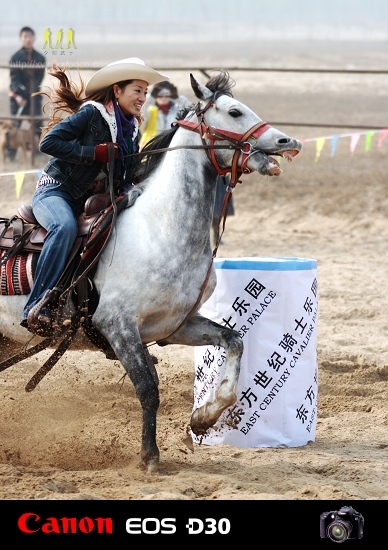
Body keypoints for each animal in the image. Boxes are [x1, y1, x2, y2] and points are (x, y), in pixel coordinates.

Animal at [0, 70, 302, 474]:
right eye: (234, 111)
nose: (288, 142)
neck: (160, 228)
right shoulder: (118, 325)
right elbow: (148, 387)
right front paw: (150, 456)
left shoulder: (174, 325)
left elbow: (234, 340)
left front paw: (204, 417)